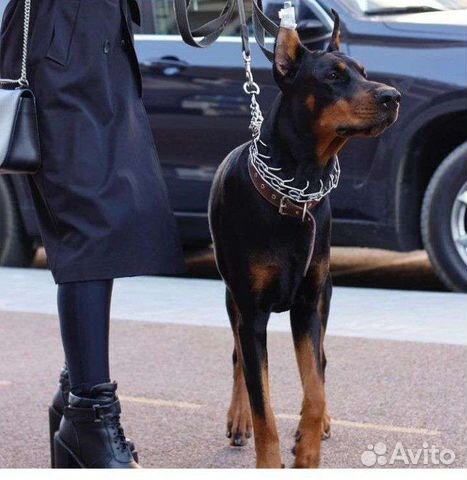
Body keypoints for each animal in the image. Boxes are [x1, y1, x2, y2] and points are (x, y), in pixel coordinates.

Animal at [210, 10, 400, 468]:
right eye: (332, 75)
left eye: (363, 70)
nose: (394, 96)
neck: (298, 187)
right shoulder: (252, 310)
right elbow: (262, 402)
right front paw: (268, 458)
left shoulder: (308, 304)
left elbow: (314, 385)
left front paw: (308, 449)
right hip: (232, 299)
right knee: (239, 358)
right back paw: (238, 417)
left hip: (325, 292)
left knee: (323, 361)